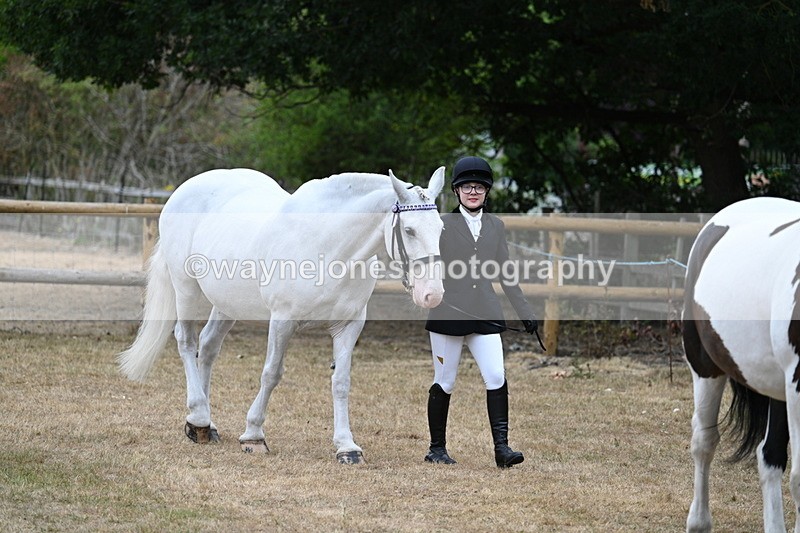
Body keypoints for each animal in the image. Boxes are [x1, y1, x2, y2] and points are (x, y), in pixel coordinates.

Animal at [117, 167, 445, 464]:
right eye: (409, 230)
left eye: (441, 228)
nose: (432, 294)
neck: (329, 248)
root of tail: (184, 189)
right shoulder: (282, 321)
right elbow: (271, 373)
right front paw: (253, 436)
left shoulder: (349, 325)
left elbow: (341, 381)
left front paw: (347, 447)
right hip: (185, 288)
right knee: (186, 342)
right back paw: (198, 417)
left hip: (227, 303)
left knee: (208, 348)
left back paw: (206, 424)